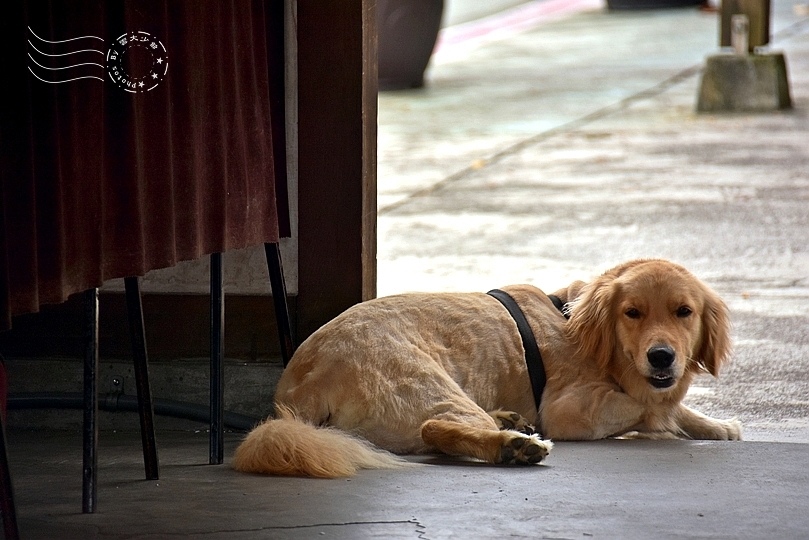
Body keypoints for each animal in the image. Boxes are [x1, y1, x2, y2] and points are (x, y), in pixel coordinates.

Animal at [232, 260, 740, 478]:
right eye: (632, 313)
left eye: (684, 312)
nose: (662, 356)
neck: (575, 322)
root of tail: (297, 388)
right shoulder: (570, 409)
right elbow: (653, 404)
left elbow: (670, 404)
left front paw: (717, 426)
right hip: (426, 381)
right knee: (435, 427)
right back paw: (512, 446)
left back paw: (507, 423)